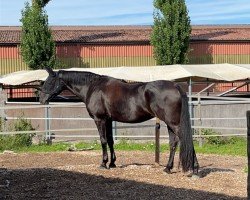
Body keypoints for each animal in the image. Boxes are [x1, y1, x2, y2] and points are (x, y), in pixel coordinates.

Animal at [39, 67, 199, 175]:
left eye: (50, 81)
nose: (41, 100)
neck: (93, 87)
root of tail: (175, 86)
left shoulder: (100, 119)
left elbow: (103, 140)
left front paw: (103, 163)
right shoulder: (109, 120)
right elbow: (110, 140)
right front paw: (112, 163)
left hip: (173, 123)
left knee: (185, 139)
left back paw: (194, 169)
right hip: (171, 124)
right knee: (174, 143)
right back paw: (168, 168)